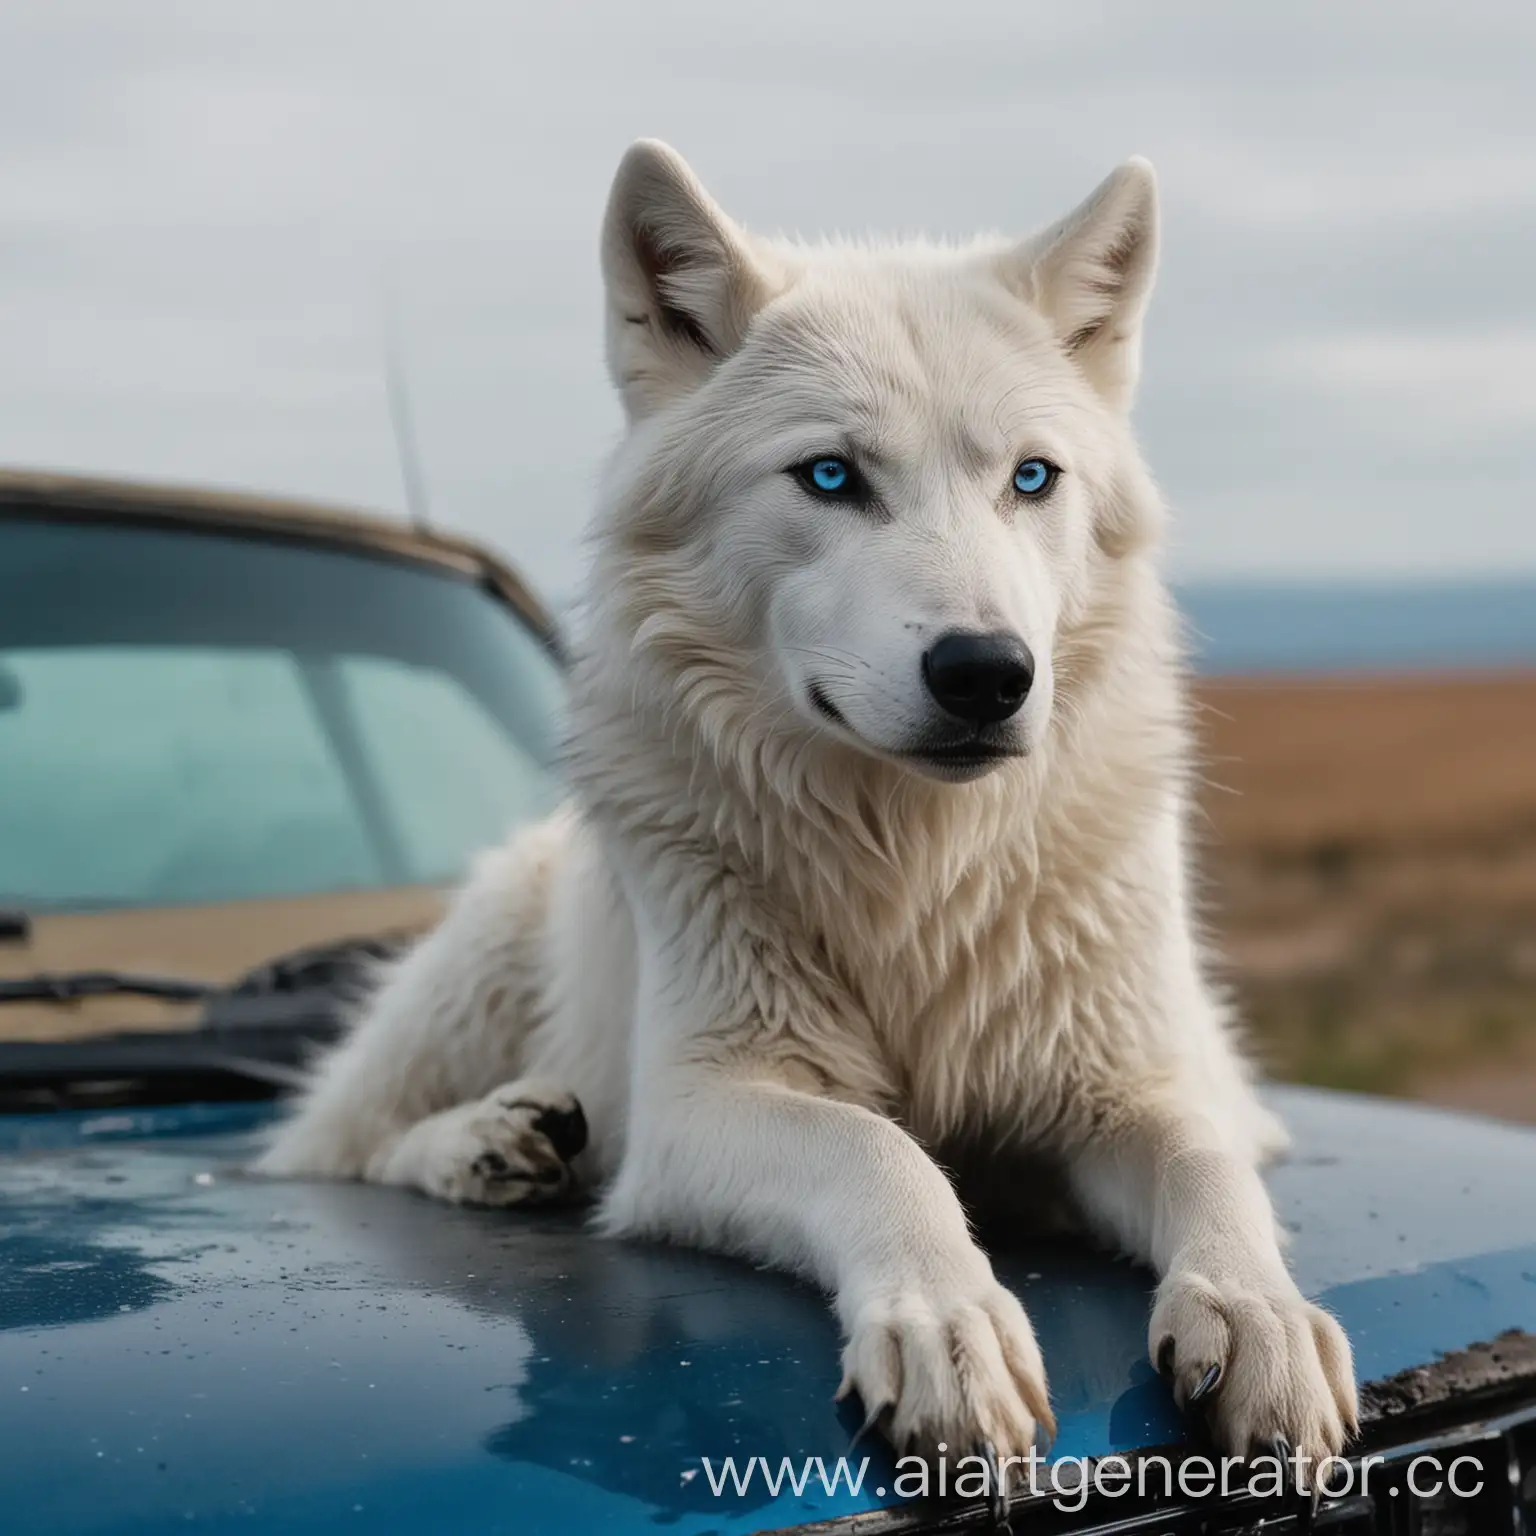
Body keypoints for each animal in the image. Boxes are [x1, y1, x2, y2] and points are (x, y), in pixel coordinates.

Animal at [264, 141, 1357, 1462]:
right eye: (831, 477)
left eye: (1031, 479)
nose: (988, 673)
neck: (914, 868)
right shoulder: (699, 1109)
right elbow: (877, 1150)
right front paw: (948, 1325)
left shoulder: (1127, 1088)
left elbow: (1211, 1165)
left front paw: (1262, 1315)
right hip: (463, 989)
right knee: (335, 1149)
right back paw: (489, 1142)